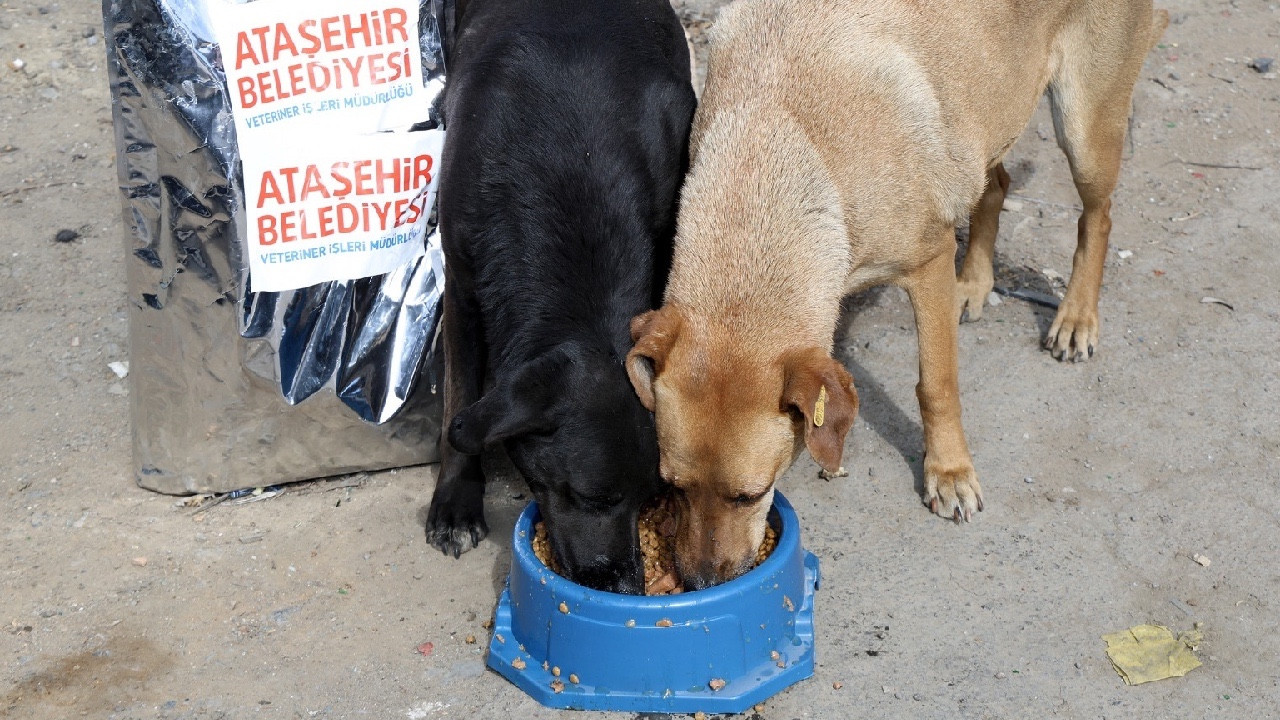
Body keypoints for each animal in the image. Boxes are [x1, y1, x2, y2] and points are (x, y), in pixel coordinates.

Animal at [424, 0, 696, 591]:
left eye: (649, 498)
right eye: (594, 497)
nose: (626, 587)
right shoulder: (461, 282)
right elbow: (458, 392)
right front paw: (456, 501)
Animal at [624, 0, 1167, 586]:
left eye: (750, 495)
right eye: (673, 486)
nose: (698, 582)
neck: (774, 138)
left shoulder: (927, 264)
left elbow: (937, 386)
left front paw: (949, 472)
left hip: (1085, 129)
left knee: (1098, 216)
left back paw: (1076, 318)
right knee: (994, 185)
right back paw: (974, 284)